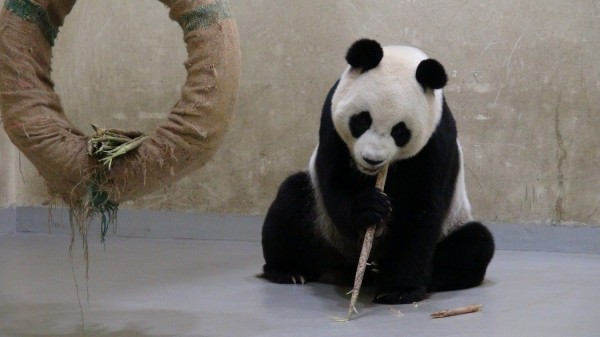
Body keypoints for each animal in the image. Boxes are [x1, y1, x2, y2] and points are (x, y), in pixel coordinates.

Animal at [260, 38, 494, 304]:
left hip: (454, 224)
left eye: (400, 131)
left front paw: (399, 290)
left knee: (474, 244)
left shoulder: (436, 140)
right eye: (362, 120)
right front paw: (370, 207)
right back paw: (289, 270)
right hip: (320, 220)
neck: (402, 57)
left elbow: (421, 209)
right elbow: (335, 183)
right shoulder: (331, 122)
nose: (372, 159)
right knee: (291, 202)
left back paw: (414, 277)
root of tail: (341, 267)